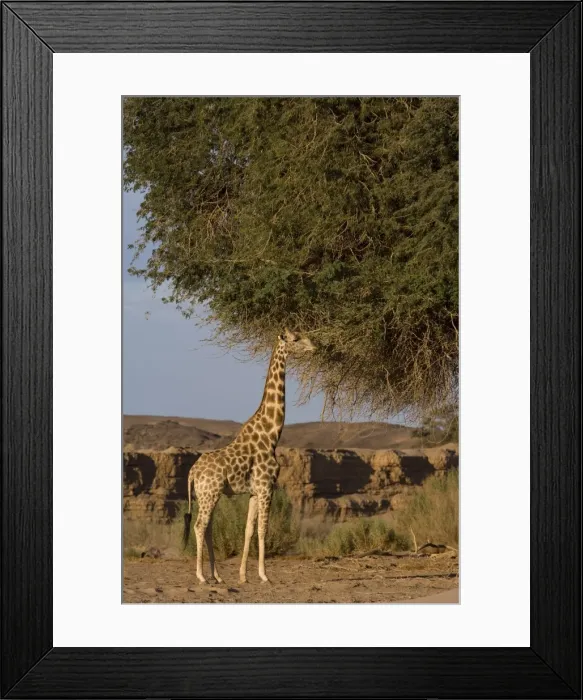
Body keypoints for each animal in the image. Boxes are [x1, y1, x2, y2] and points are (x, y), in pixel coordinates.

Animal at [182, 329, 316, 584]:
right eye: (295, 339)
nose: (314, 347)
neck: (271, 434)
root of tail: (192, 472)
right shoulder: (266, 487)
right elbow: (263, 529)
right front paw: (264, 575)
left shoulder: (255, 491)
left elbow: (248, 530)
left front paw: (243, 575)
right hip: (209, 493)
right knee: (200, 525)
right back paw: (201, 576)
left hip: (206, 495)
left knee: (209, 527)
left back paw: (217, 576)